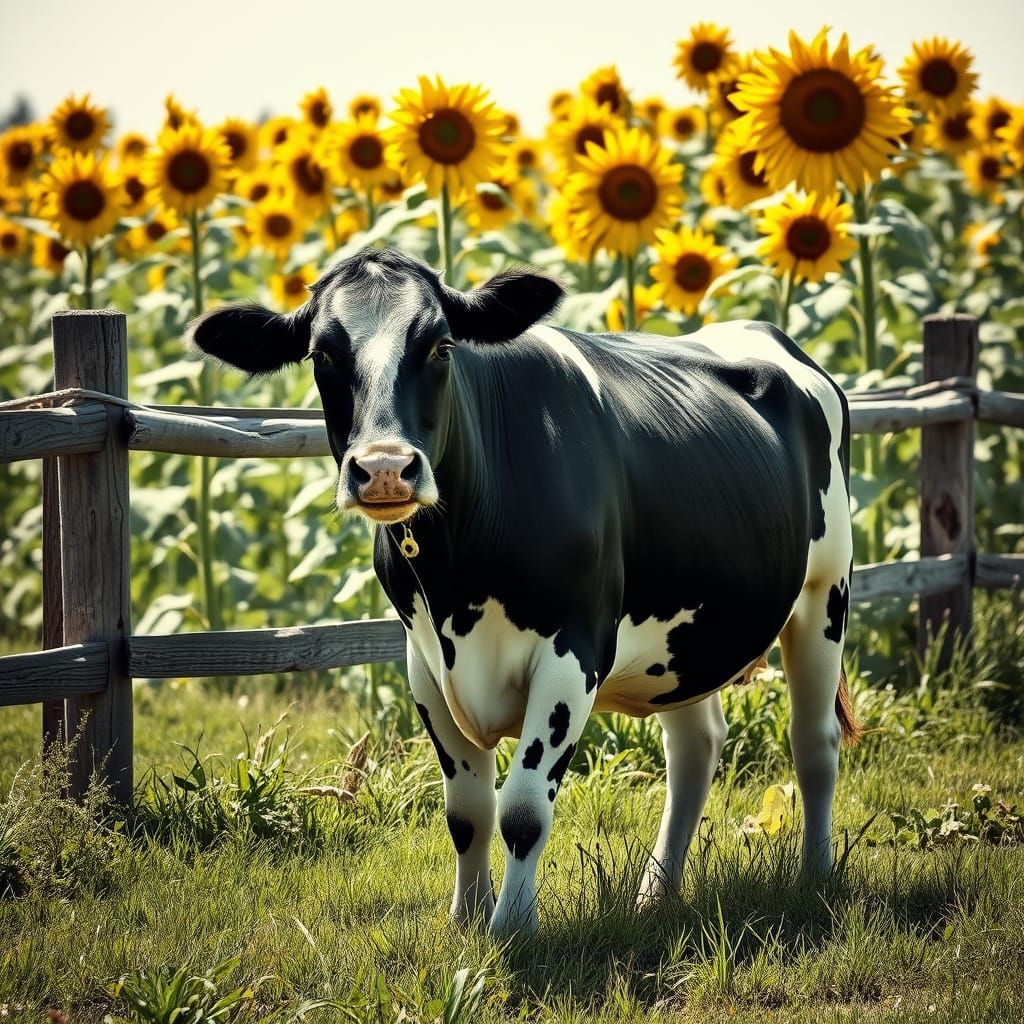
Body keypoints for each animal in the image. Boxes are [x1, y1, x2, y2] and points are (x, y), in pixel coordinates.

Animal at [187, 246, 856, 937]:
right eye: (321, 355)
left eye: (441, 345)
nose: (384, 469)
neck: (458, 576)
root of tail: (768, 336)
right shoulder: (423, 662)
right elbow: (467, 810)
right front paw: (466, 918)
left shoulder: (574, 653)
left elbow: (523, 808)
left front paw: (511, 927)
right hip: (682, 636)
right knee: (695, 748)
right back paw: (657, 894)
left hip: (824, 592)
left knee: (814, 741)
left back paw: (815, 876)